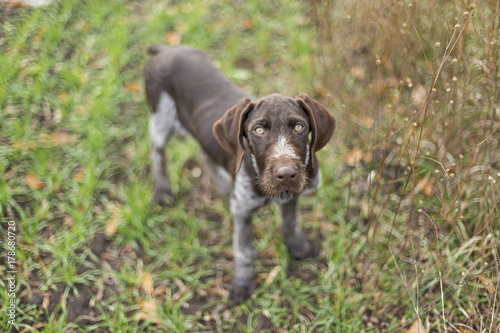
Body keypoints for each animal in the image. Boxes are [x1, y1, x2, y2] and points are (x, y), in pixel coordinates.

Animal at [143, 44, 334, 304]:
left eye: (299, 127)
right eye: (259, 130)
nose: (286, 174)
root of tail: (165, 49)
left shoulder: (290, 196)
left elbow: (290, 223)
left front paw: (296, 247)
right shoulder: (242, 211)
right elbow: (244, 250)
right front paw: (243, 283)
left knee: (206, 155)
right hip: (160, 118)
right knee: (157, 152)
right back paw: (163, 190)